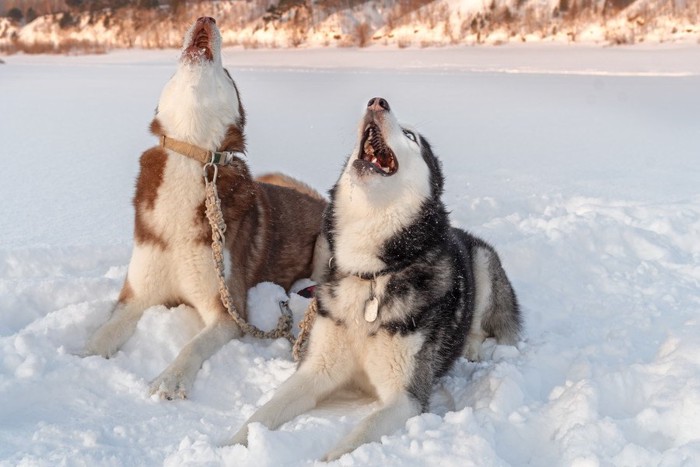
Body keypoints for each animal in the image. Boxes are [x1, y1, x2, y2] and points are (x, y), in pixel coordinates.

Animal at [84, 16, 326, 400]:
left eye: (226, 72)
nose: (205, 19)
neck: (192, 152)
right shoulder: (136, 295)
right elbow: (102, 335)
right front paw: (79, 358)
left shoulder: (227, 310)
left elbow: (192, 345)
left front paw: (170, 378)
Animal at [230, 98, 520, 460]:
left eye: (411, 136)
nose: (378, 102)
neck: (370, 273)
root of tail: (462, 234)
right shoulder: (317, 369)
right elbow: (264, 413)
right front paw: (228, 445)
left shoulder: (405, 397)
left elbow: (358, 435)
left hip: (482, 261)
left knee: (480, 323)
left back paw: (471, 346)